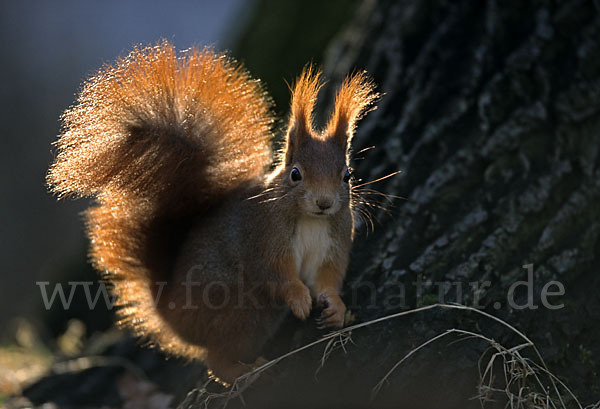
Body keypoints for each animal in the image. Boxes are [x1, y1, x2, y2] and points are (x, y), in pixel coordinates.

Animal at [47, 41, 378, 382]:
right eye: (295, 174)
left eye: (347, 176)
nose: (324, 202)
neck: (311, 220)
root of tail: (167, 311)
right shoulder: (263, 236)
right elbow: (276, 274)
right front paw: (299, 299)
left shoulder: (335, 240)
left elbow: (328, 278)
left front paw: (336, 307)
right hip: (236, 309)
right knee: (216, 358)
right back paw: (244, 371)